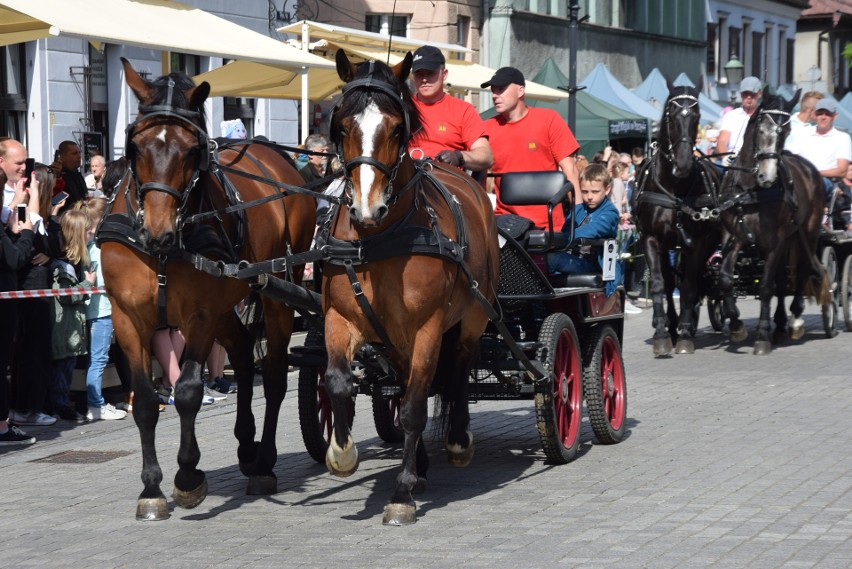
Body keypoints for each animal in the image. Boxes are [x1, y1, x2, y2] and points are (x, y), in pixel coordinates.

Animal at [100, 58, 312, 520]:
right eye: (135, 146)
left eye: (191, 150)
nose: (158, 232)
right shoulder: (128, 318)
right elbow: (146, 401)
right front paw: (151, 489)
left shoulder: (198, 316)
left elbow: (187, 392)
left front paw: (187, 478)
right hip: (229, 304)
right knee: (244, 360)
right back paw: (247, 446)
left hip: (278, 292)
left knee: (273, 377)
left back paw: (263, 463)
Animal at [322, 52, 502, 524]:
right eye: (341, 126)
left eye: (396, 128)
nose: (367, 207)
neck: (378, 240)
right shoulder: (340, 318)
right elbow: (339, 384)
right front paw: (342, 455)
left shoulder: (427, 329)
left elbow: (416, 407)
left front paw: (401, 492)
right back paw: (419, 464)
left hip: (473, 316)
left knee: (457, 370)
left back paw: (457, 441)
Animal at [632, 79, 720, 356]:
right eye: (671, 115)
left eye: (697, 115)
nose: (683, 164)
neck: (674, 188)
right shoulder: (651, 239)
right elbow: (660, 284)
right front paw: (662, 333)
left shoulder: (699, 242)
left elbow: (690, 285)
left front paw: (684, 334)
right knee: (670, 282)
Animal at [716, 91, 828, 352]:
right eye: (760, 129)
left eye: (785, 132)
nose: (767, 176)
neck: (751, 191)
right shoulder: (735, 236)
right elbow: (725, 278)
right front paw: (736, 326)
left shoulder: (773, 241)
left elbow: (765, 286)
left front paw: (762, 335)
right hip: (787, 241)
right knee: (781, 279)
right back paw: (779, 325)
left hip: (807, 233)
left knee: (801, 273)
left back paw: (794, 321)